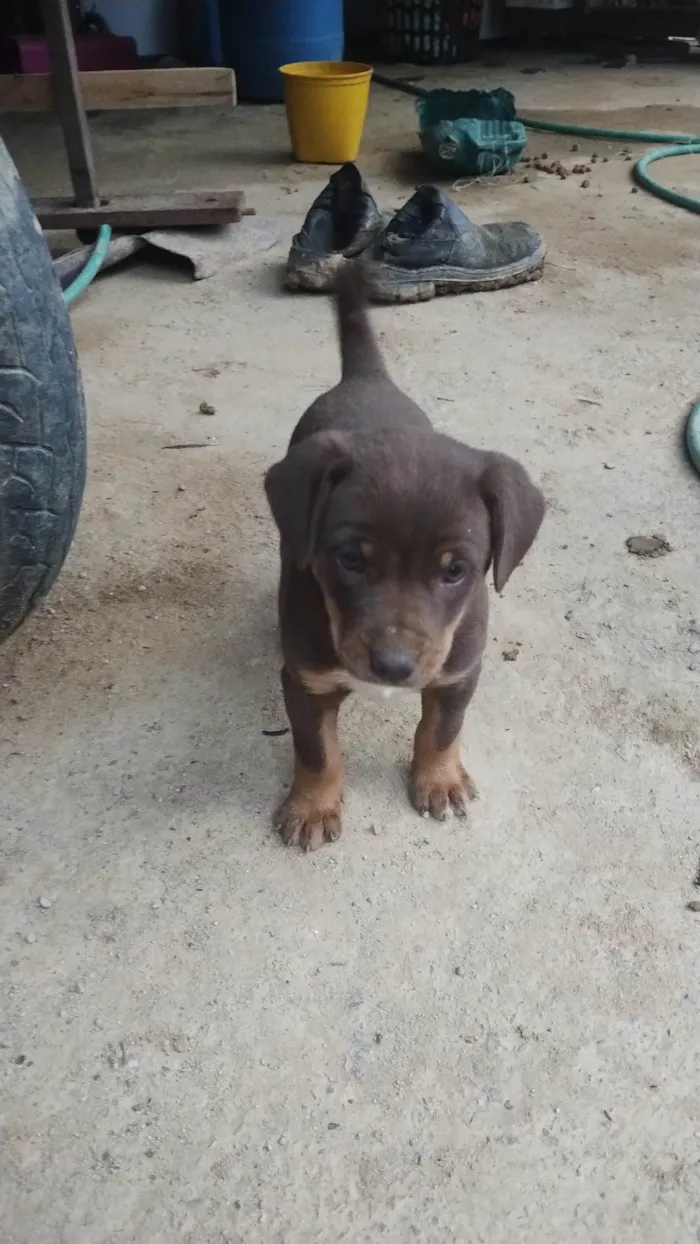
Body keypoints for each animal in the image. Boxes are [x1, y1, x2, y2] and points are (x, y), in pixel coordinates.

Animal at [266, 266, 544, 850]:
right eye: (350, 559)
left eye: (455, 571)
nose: (393, 667)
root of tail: (366, 378)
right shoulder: (304, 681)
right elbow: (316, 750)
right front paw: (311, 807)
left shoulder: (459, 670)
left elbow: (442, 729)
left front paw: (439, 780)